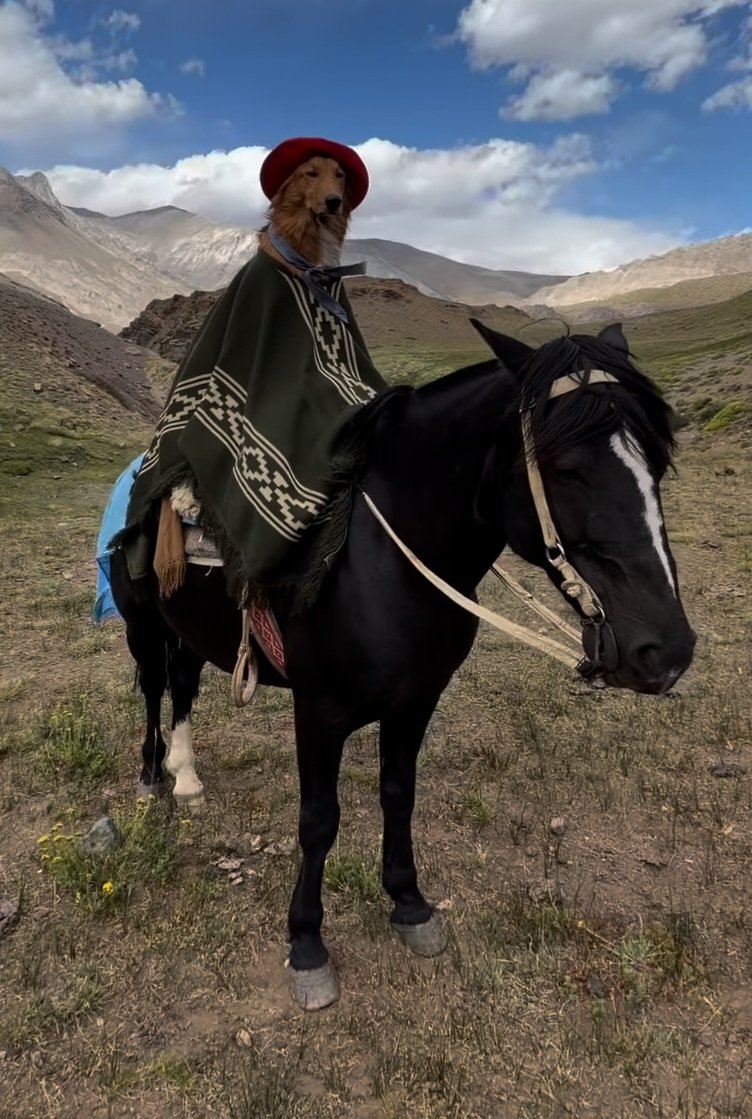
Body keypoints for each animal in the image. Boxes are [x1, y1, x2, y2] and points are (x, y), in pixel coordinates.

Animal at [108, 320, 696, 1010]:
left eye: (657, 463)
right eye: (568, 467)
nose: (668, 652)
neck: (383, 563)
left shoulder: (417, 700)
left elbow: (398, 794)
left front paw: (410, 903)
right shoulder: (319, 712)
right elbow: (319, 821)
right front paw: (307, 944)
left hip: (192, 631)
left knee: (181, 684)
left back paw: (187, 778)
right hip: (143, 624)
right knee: (154, 687)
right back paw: (153, 778)